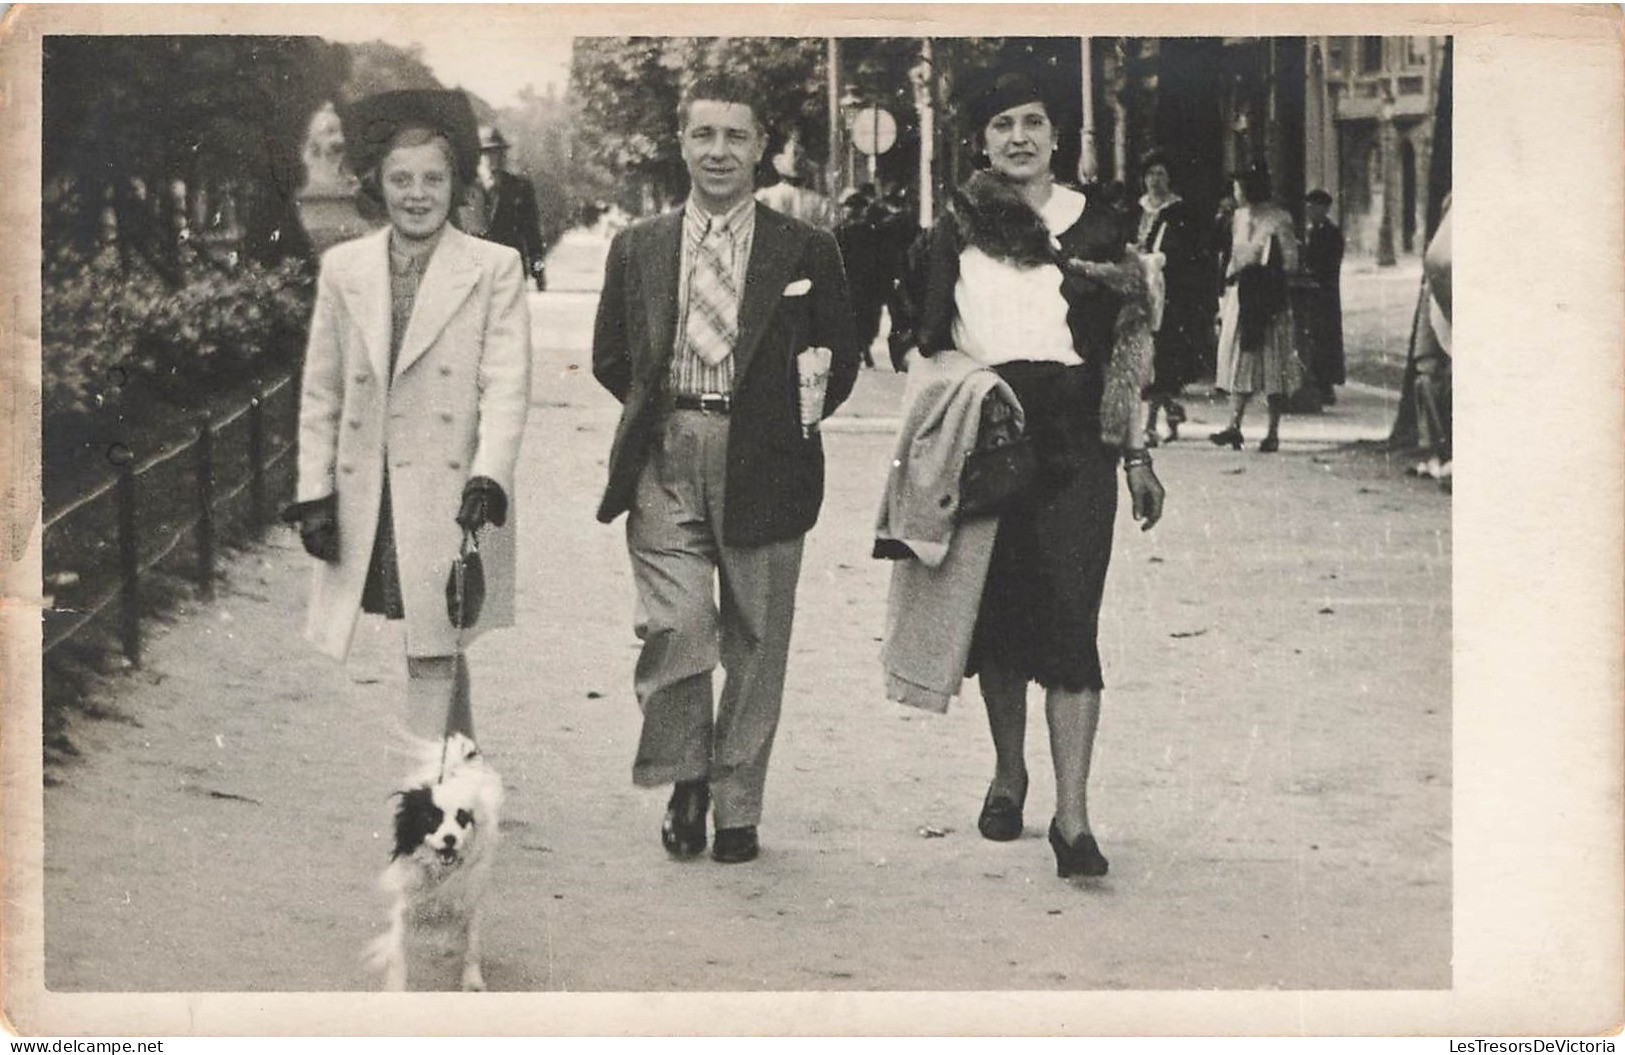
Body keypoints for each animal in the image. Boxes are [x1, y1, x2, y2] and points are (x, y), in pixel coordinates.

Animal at [365, 731, 503, 988]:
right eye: (431, 818)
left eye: (462, 818)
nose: (450, 838)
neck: (439, 872)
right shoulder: (405, 907)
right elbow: (398, 952)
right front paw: (396, 985)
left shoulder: (470, 905)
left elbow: (472, 948)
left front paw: (472, 983)